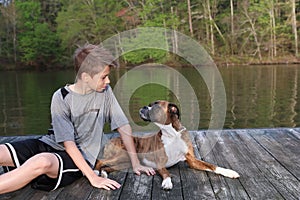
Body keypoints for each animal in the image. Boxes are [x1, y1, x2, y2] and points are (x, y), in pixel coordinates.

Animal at [95, 101, 240, 190]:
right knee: (101, 161)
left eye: (155, 106)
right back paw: (96, 172)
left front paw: (229, 172)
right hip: (123, 155)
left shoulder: (192, 160)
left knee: (108, 167)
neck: (171, 134)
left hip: (125, 162)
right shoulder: (160, 162)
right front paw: (167, 182)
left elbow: (211, 166)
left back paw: (104, 174)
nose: (143, 107)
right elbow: (166, 172)